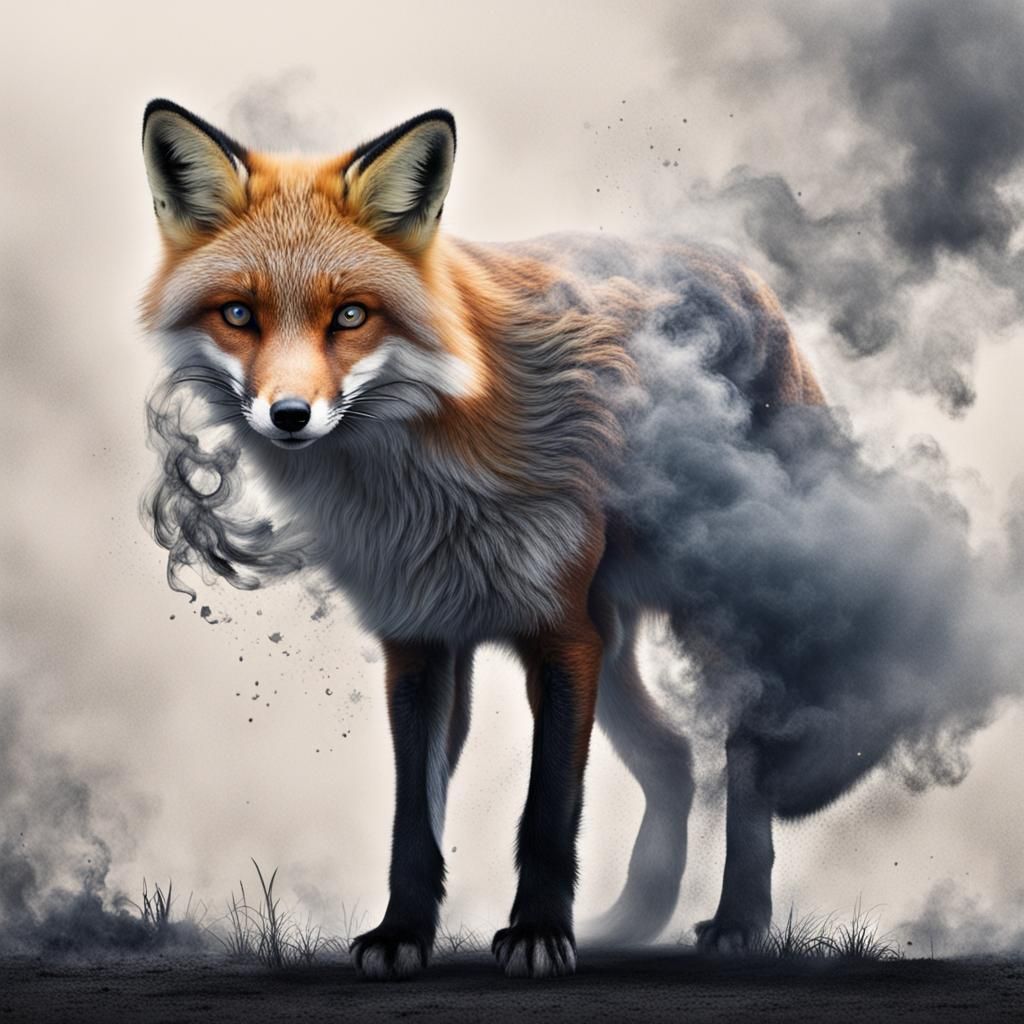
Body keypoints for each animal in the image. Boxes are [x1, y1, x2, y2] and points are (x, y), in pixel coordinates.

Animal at [139, 100, 827, 980]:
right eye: (238, 315)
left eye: (351, 316)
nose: (289, 416)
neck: (430, 483)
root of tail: (745, 278)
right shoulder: (422, 641)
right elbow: (413, 823)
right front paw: (401, 934)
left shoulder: (562, 638)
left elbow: (547, 815)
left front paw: (537, 932)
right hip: (613, 637)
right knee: (675, 757)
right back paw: (637, 917)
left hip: (706, 618)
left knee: (747, 753)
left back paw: (741, 918)